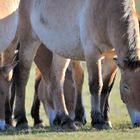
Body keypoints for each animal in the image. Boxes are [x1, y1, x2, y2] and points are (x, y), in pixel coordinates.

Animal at [13, 0, 140, 130]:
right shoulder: (92, 53)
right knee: (22, 76)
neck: (107, 12)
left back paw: (65, 120)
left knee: (56, 80)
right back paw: (22, 121)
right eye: (126, 86)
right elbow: (96, 85)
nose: (138, 123)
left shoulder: (111, 58)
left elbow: (105, 87)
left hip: (61, 50)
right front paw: (97, 120)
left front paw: (105, 120)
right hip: (29, 41)